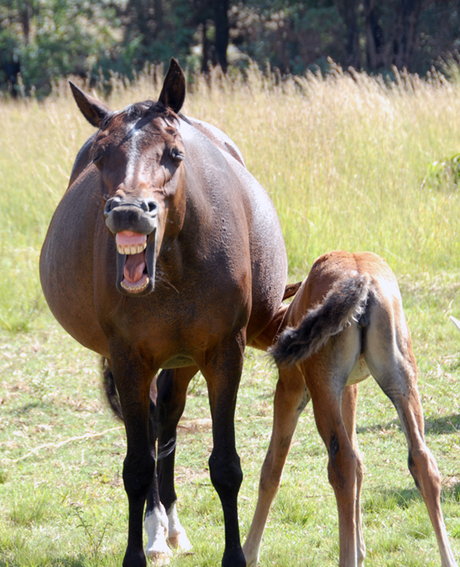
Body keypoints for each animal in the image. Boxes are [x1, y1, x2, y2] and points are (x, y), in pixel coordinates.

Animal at [41, 58, 288, 567]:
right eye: (100, 156)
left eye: (174, 153)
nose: (129, 211)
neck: (175, 264)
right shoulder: (129, 360)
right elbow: (136, 466)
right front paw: (136, 553)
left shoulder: (223, 355)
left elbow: (226, 466)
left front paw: (234, 556)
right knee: (158, 425)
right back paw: (159, 531)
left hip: (185, 360)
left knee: (169, 418)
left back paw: (171, 526)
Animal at [244, 252, 456, 567]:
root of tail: (362, 280)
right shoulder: (348, 390)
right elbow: (360, 463)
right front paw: (361, 550)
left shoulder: (291, 390)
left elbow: (272, 468)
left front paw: (247, 552)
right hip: (402, 383)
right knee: (421, 460)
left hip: (322, 390)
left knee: (341, 464)